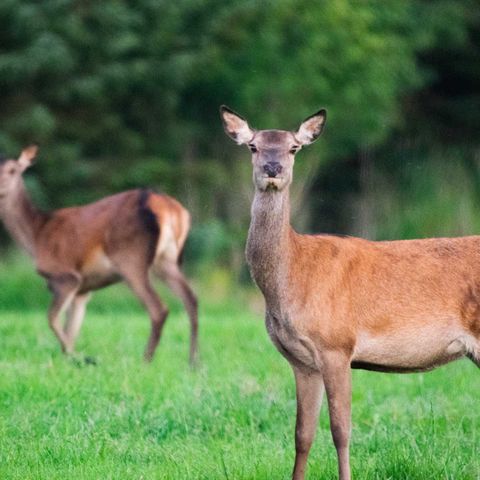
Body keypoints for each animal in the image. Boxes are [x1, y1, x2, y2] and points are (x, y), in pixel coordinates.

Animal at [0, 146, 199, 364]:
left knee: (158, 308)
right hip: (166, 260)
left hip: (130, 258)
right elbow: (71, 328)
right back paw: (193, 362)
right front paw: (72, 359)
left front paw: (79, 357)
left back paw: (146, 360)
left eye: (13, 170)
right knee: (191, 299)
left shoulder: (66, 277)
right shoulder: (83, 290)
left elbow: (52, 319)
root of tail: (167, 206)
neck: (36, 236)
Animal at [219, 106, 478, 480]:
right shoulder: (301, 361)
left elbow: (341, 429)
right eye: (253, 146)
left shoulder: (336, 345)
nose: (272, 169)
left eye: (294, 147)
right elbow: (302, 433)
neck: (292, 276)